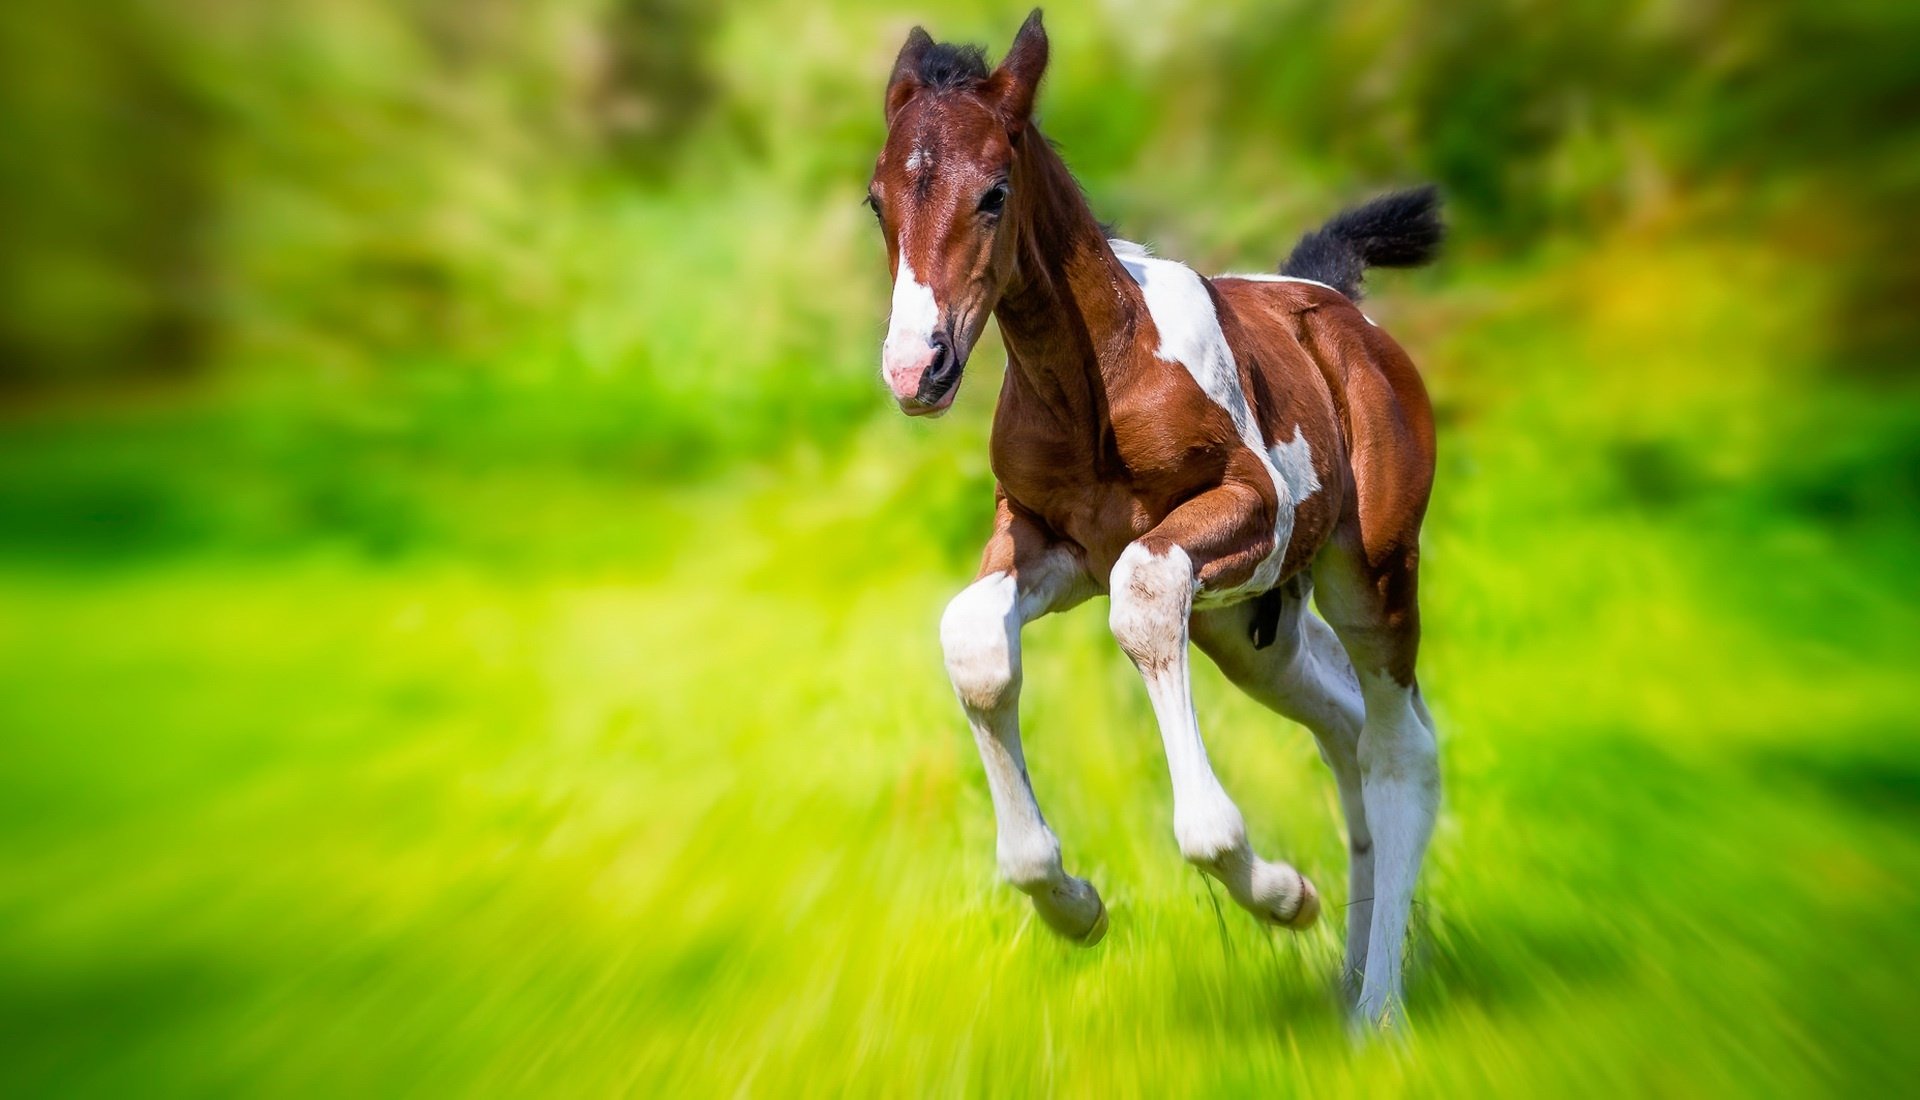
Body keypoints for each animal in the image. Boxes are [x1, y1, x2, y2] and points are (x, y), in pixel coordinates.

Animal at [868, 10, 1444, 1029]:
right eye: (875, 201)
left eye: (994, 193)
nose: (914, 368)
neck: (1097, 373)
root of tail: (1337, 306)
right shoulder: (1052, 544)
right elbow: (974, 644)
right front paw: (1071, 905)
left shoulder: (1245, 511)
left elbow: (1141, 604)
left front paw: (1278, 892)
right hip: (1251, 632)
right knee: (1344, 730)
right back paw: (1350, 975)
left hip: (1369, 566)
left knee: (1400, 744)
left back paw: (1377, 1013)